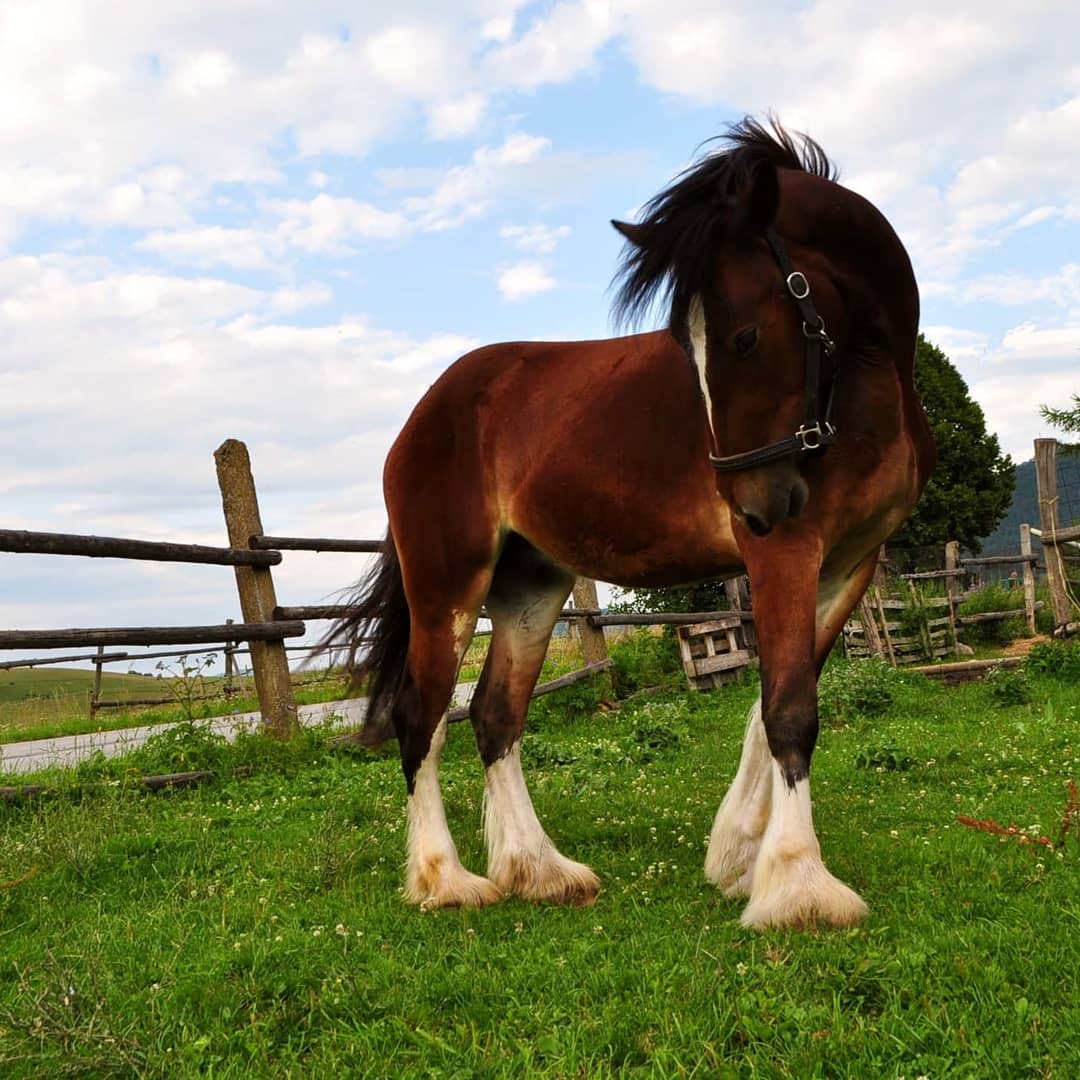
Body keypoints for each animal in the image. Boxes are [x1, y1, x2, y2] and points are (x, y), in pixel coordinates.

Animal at [325, 118, 935, 929]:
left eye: (742, 338)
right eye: (694, 345)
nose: (753, 506)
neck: (863, 384)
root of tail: (427, 412)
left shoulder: (850, 562)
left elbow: (771, 701)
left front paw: (739, 857)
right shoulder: (786, 554)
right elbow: (789, 709)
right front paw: (798, 886)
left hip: (529, 586)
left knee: (494, 716)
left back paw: (538, 871)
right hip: (447, 585)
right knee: (420, 716)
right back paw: (445, 880)